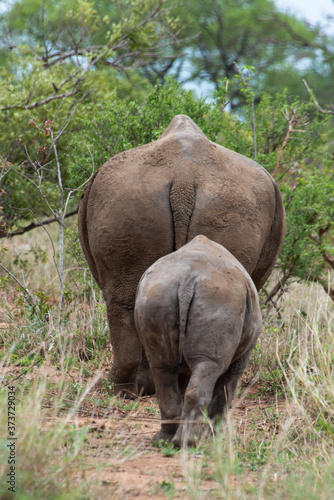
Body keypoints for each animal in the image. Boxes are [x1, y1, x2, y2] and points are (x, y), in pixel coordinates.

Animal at [134, 236, 262, 448]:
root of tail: (188, 279)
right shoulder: (243, 356)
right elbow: (226, 389)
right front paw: (217, 436)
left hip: (156, 295)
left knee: (162, 367)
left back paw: (165, 440)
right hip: (218, 300)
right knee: (208, 364)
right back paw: (189, 442)